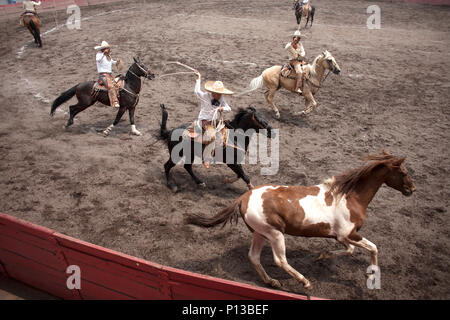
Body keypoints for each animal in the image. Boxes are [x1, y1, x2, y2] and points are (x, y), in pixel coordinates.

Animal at [186, 151, 414, 290]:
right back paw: (305, 282)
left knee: (254, 257)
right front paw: (372, 276)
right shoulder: (349, 234)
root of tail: (244, 197)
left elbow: (350, 250)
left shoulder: (341, 236)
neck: (350, 197)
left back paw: (272, 282)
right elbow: (373, 248)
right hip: (275, 234)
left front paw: (322, 256)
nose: (412, 189)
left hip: (260, 233)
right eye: (403, 172)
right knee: (280, 260)